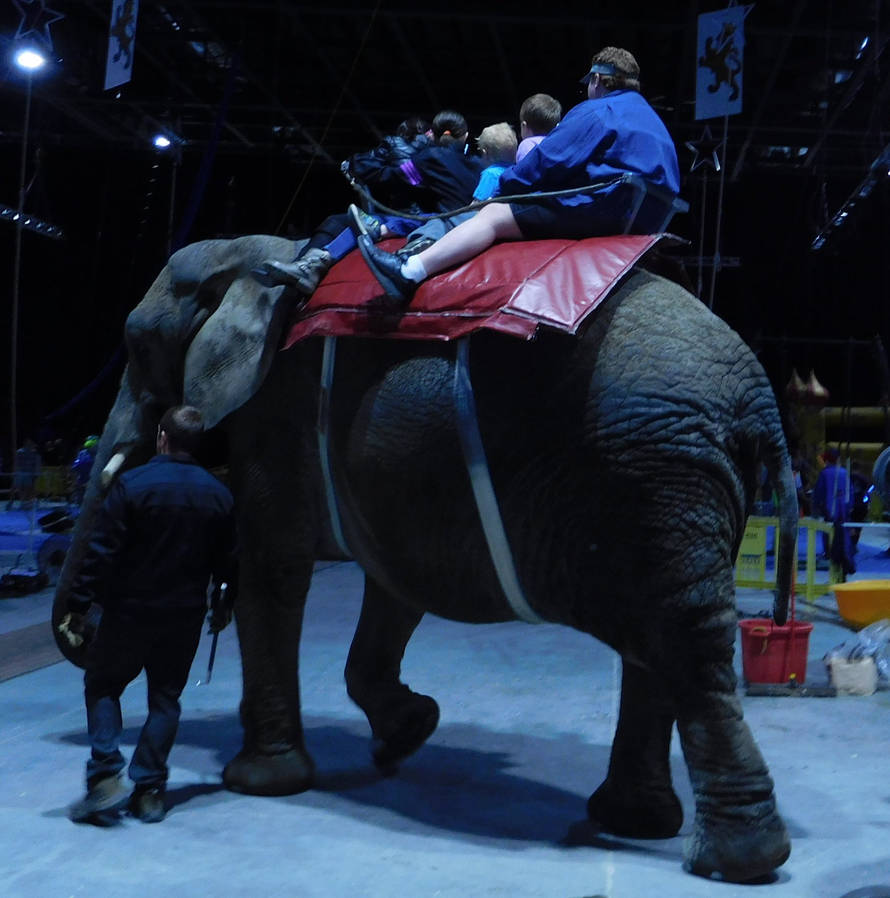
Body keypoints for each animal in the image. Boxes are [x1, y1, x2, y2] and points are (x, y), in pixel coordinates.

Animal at [53, 233, 797, 883]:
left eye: (135, 345)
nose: (77, 631)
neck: (260, 253)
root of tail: (760, 397)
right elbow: (394, 582)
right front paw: (409, 735)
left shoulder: (276, 413)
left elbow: (273, 569)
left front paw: (262, 783)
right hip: (672, 489)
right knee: (657, 649)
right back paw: (639, 822)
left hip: (656, 477)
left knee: (685, 647)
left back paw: (732, 862)